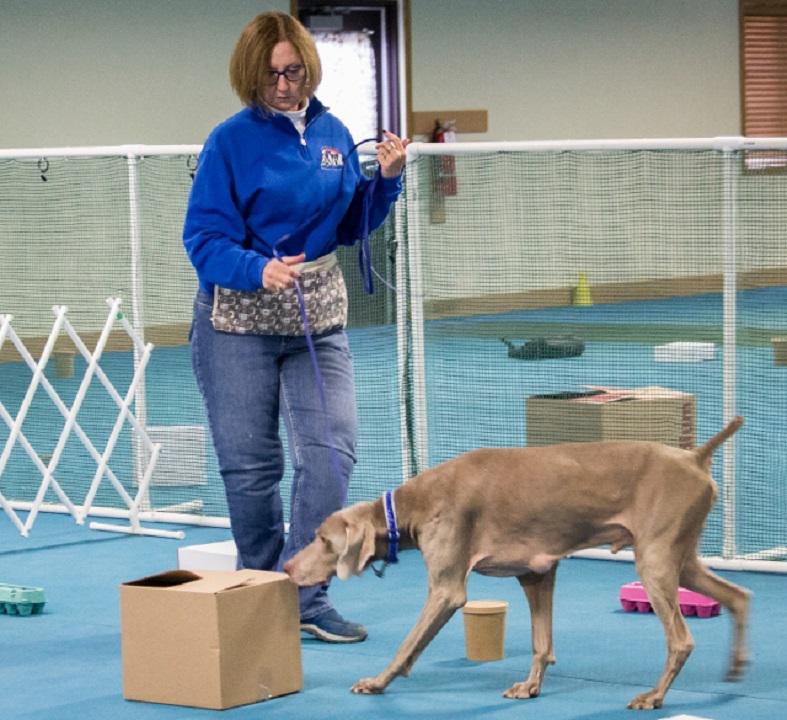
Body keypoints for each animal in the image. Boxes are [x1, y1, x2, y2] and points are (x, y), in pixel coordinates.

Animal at [284, 416, 752, 708]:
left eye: (321, 539)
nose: (287, 569)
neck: (413, 505)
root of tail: (693, 457)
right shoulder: (536, 574)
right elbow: (541, 643)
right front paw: (530, 686)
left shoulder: (447, 590)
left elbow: (406, 645)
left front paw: (377, 682)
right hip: (679, 558)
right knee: (739, 595)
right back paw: (735, 667)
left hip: (655, 562)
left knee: (682, 640)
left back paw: (654, 697)